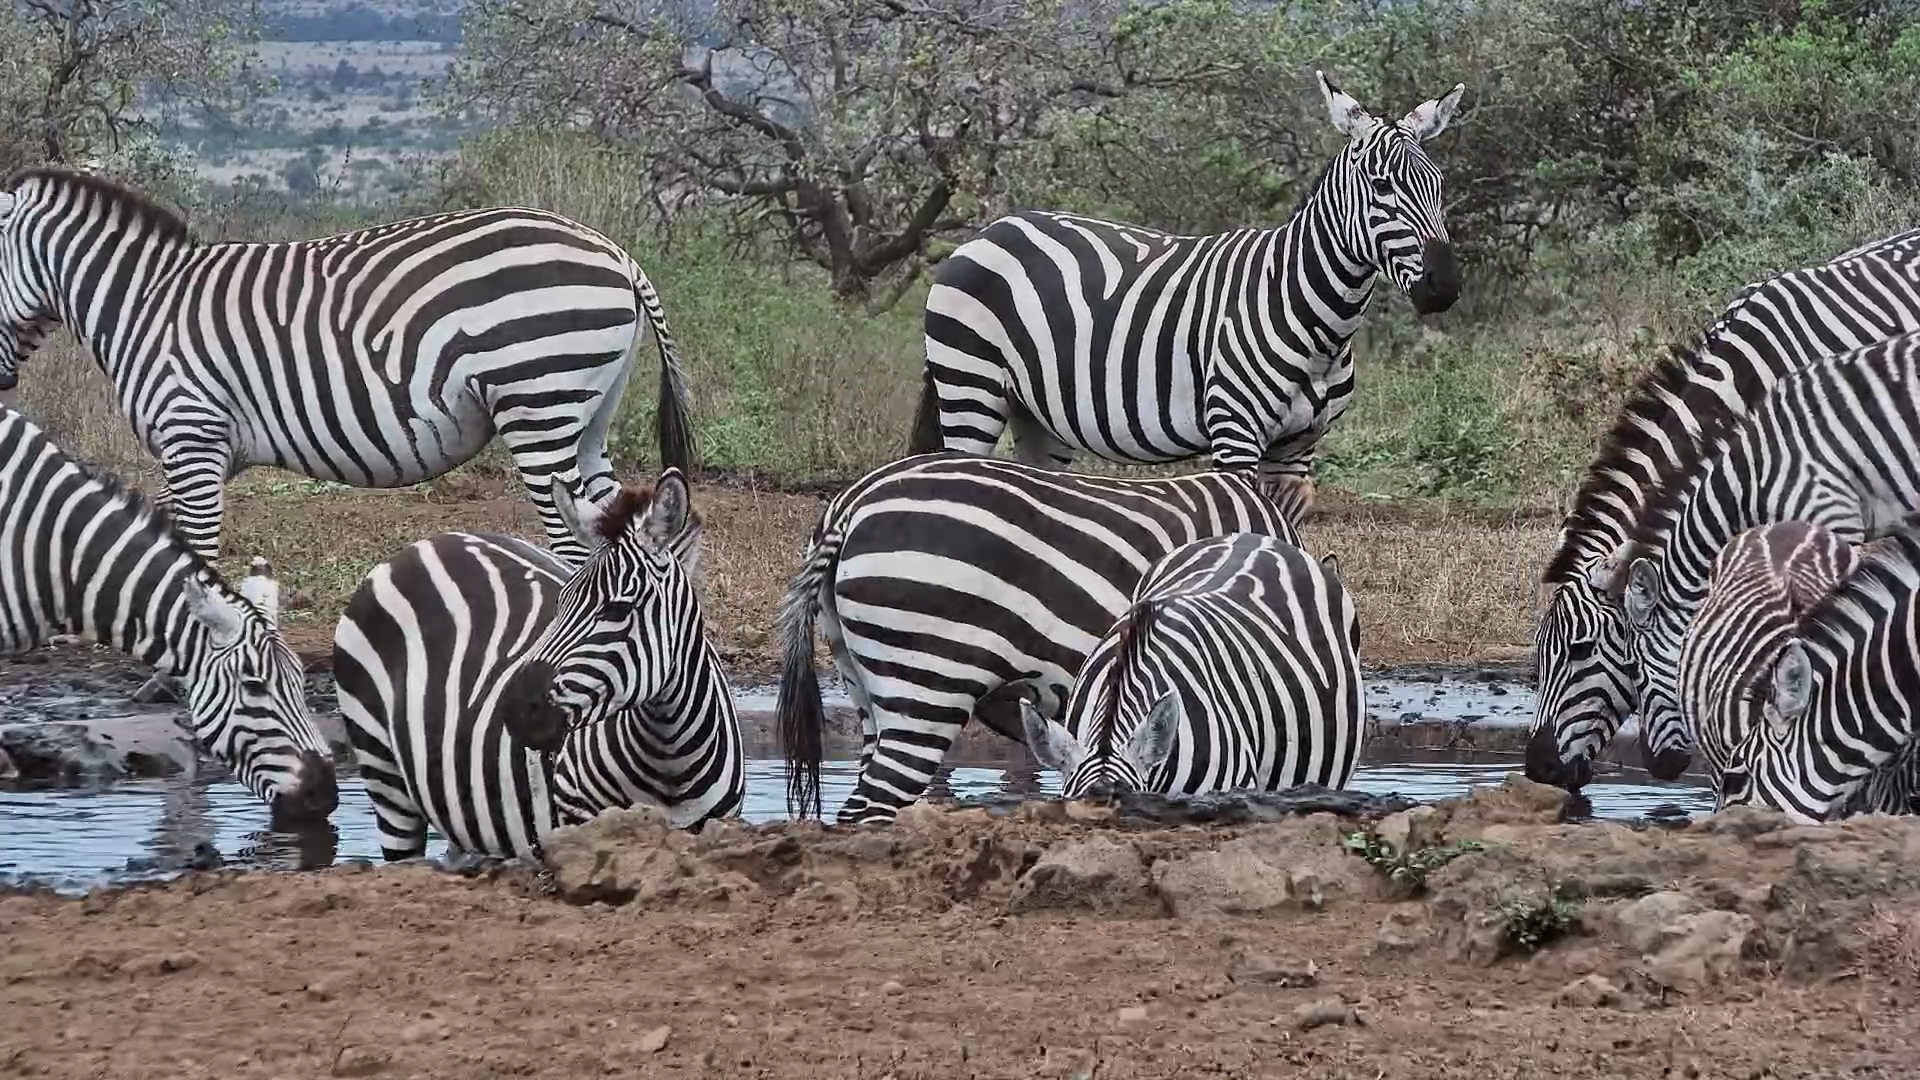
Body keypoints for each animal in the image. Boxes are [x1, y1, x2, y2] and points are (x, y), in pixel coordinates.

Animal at [0, 166, 694, 568]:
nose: (2, 384)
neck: (143, 302)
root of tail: (616, 253)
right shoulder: (194, 450)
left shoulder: (190, 436)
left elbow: (194, 558)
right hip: (586, 418)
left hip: (538, 405)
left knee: (575, 545)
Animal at [333, 471, 743, 861]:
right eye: (561, 601)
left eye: (617, 610)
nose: (514, 707)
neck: (668, 758)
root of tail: (423, 544)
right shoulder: (581, 822)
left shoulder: (718, 826)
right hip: (383, 775)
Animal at [912, 71, 1464, 493]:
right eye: (1381, 186)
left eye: (1438, 184)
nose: (1444, 287)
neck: (1314, 318)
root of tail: (989, 231)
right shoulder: (1235, 432)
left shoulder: (1300, 446)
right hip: (970, 385)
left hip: (1038, 414)